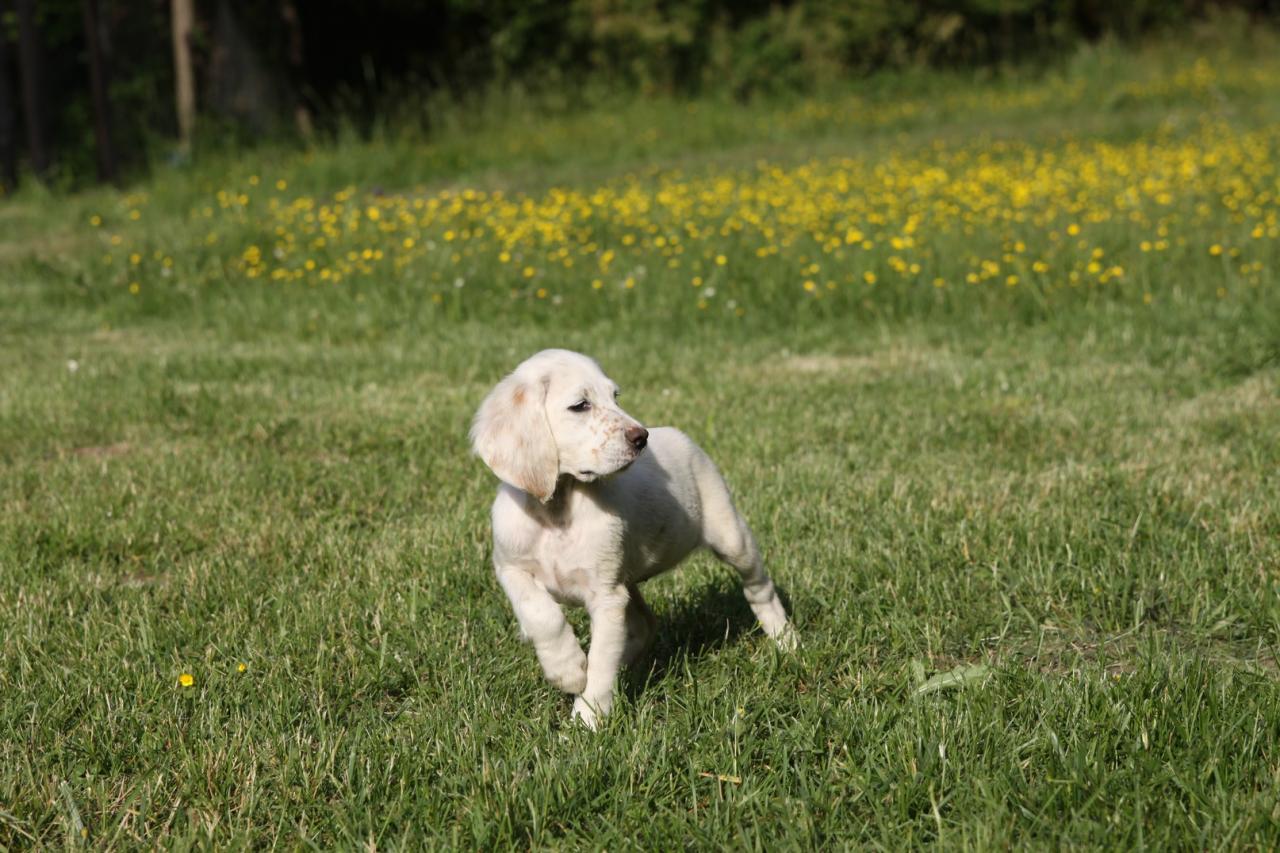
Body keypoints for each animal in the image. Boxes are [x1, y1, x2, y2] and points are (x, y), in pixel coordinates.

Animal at [471, 345, 788, 722]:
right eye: (581, 405)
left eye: (615, 396)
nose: (642, 437)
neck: (556, 512)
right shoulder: (510, 568)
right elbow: (542, 615)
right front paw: (568, 670)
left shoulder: (606, 596)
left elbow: (601, 662)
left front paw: (588, 719)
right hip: (629, 580)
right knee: (642, 625)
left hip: (731, 536)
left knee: (759, 587)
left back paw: (786, 641)